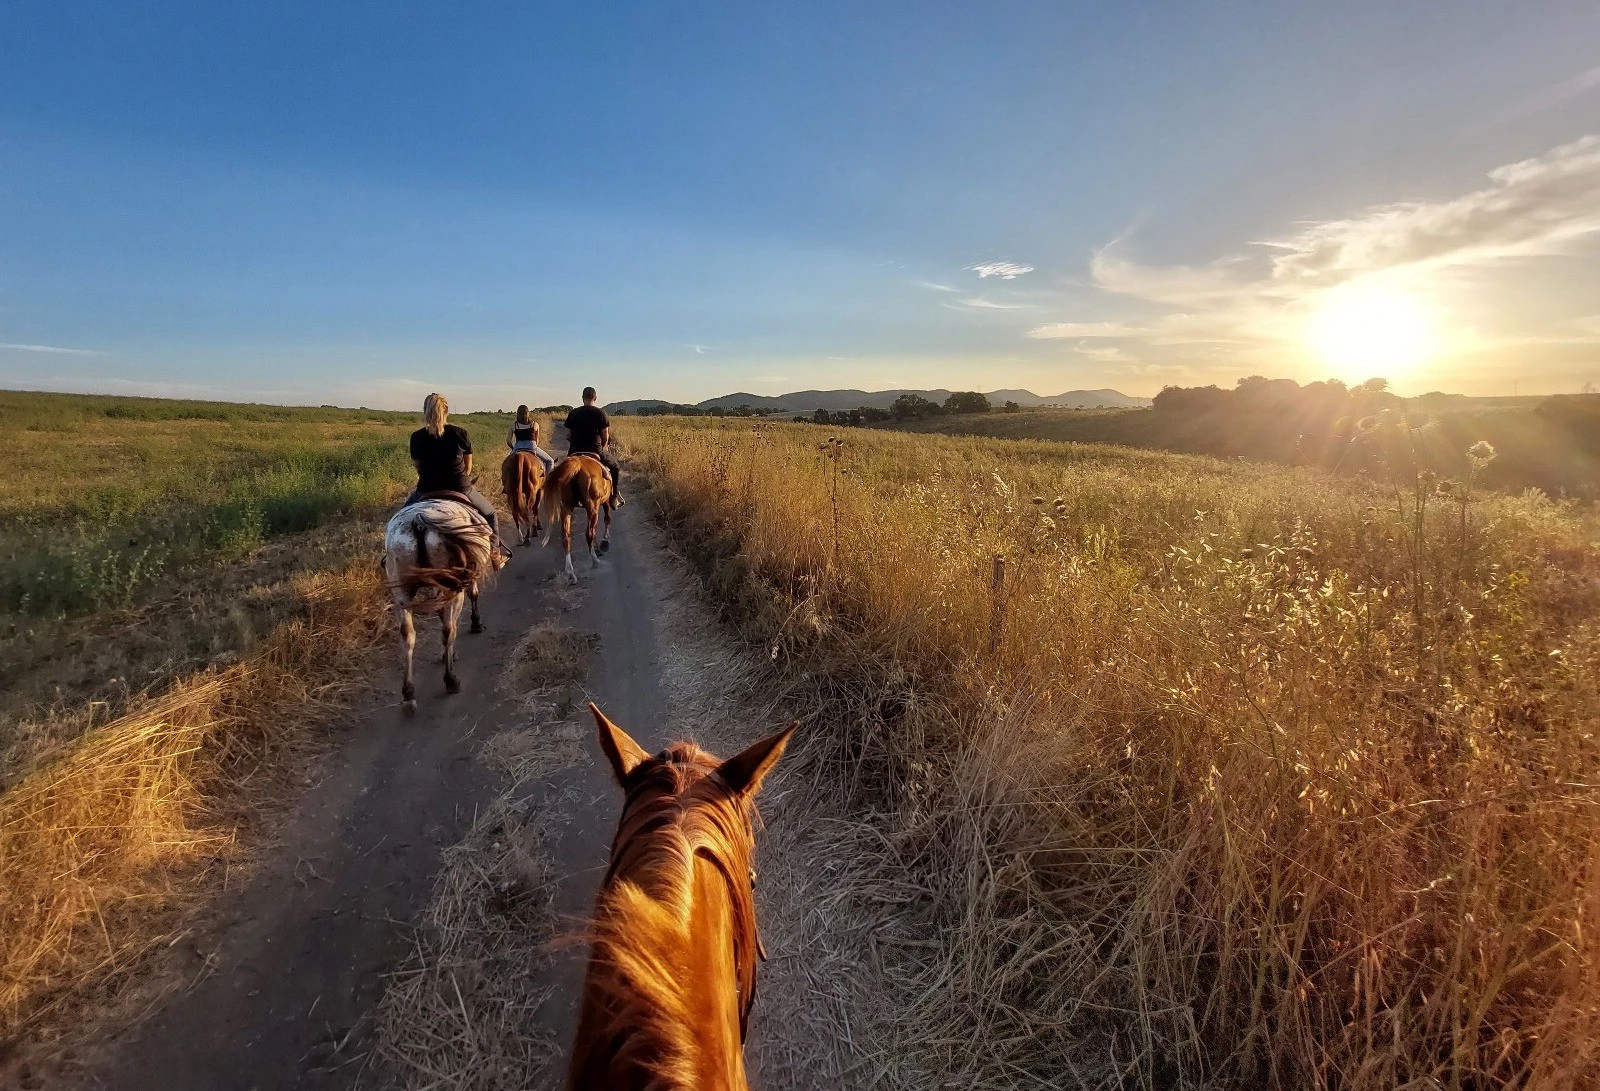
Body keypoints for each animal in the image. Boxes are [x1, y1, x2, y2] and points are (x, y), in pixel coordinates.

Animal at [377, 495, 502, 713]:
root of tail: (419, 522)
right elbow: (473, 595)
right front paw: (476, 624)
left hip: (401, 591)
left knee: (407, 635)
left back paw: (408, 693)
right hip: (453, 588)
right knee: (448, 629)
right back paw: (451, 680)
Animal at [537, 451, 611, 582]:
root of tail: (577, 464)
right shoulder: (605, 503)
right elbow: (607, 519)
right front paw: (604, 542)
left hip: (566, 508)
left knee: (566, 537)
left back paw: (570, 572)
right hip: (592, 507)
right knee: (589, 533)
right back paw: (595, 560)